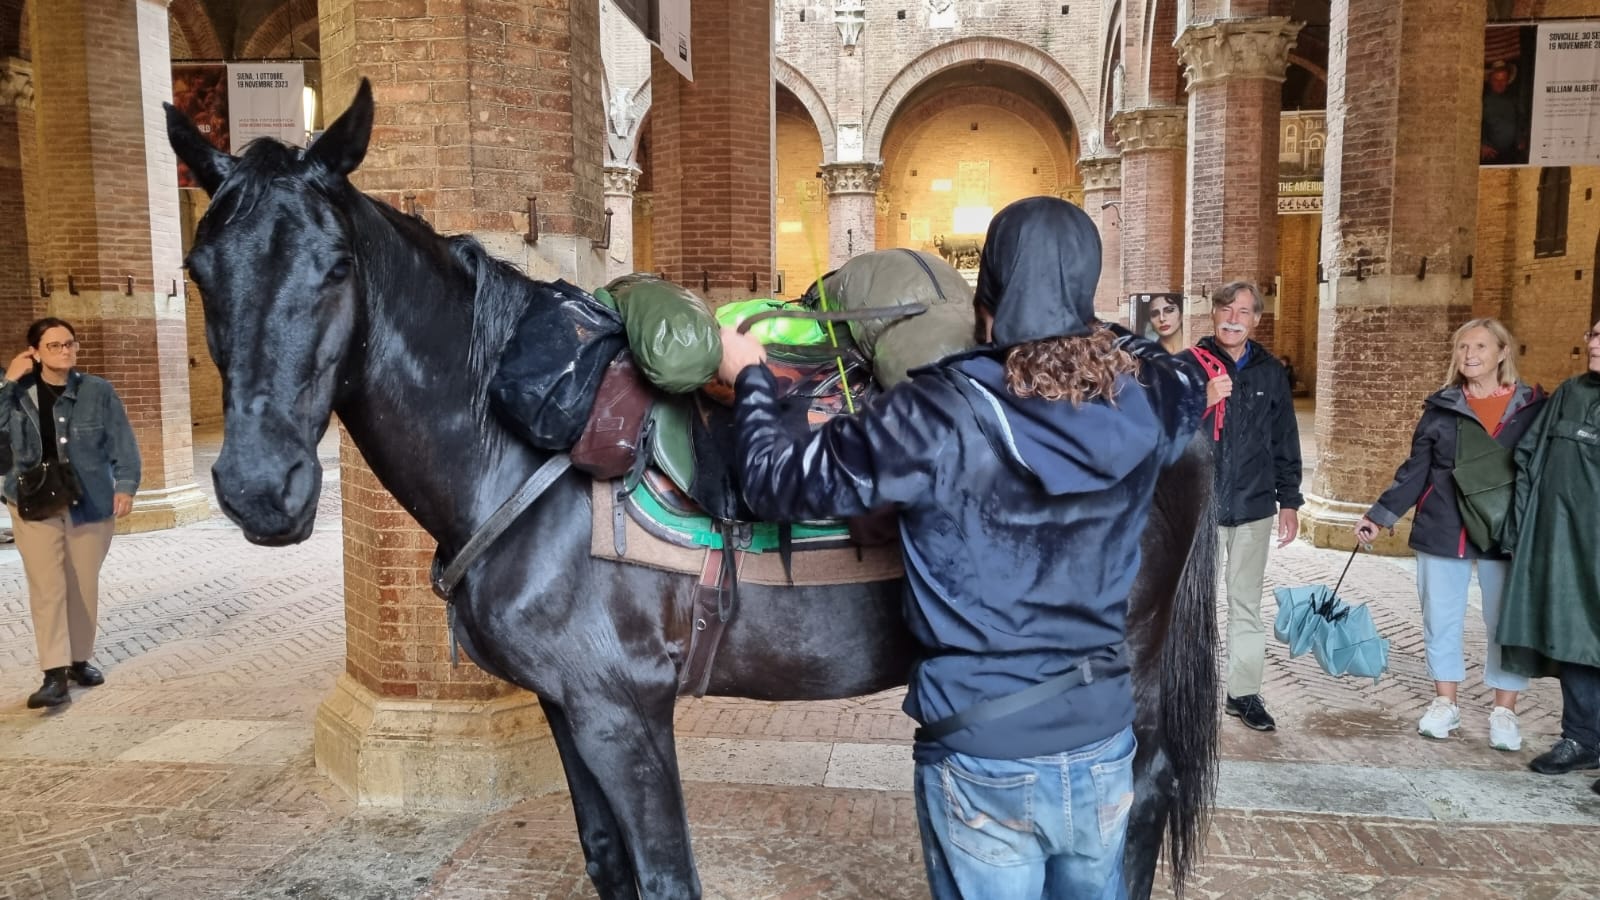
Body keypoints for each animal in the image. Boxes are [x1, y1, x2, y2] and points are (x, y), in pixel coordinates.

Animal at [165, 80, 1209, 890]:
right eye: (198, 266)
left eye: (337, 264)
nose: (258, 487)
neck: (530, 455)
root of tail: (1160, 367)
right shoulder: (568, 707)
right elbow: (607, 862)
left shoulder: (625, 714)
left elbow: (667, 875)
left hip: (1132, 659)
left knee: (1138, 794)